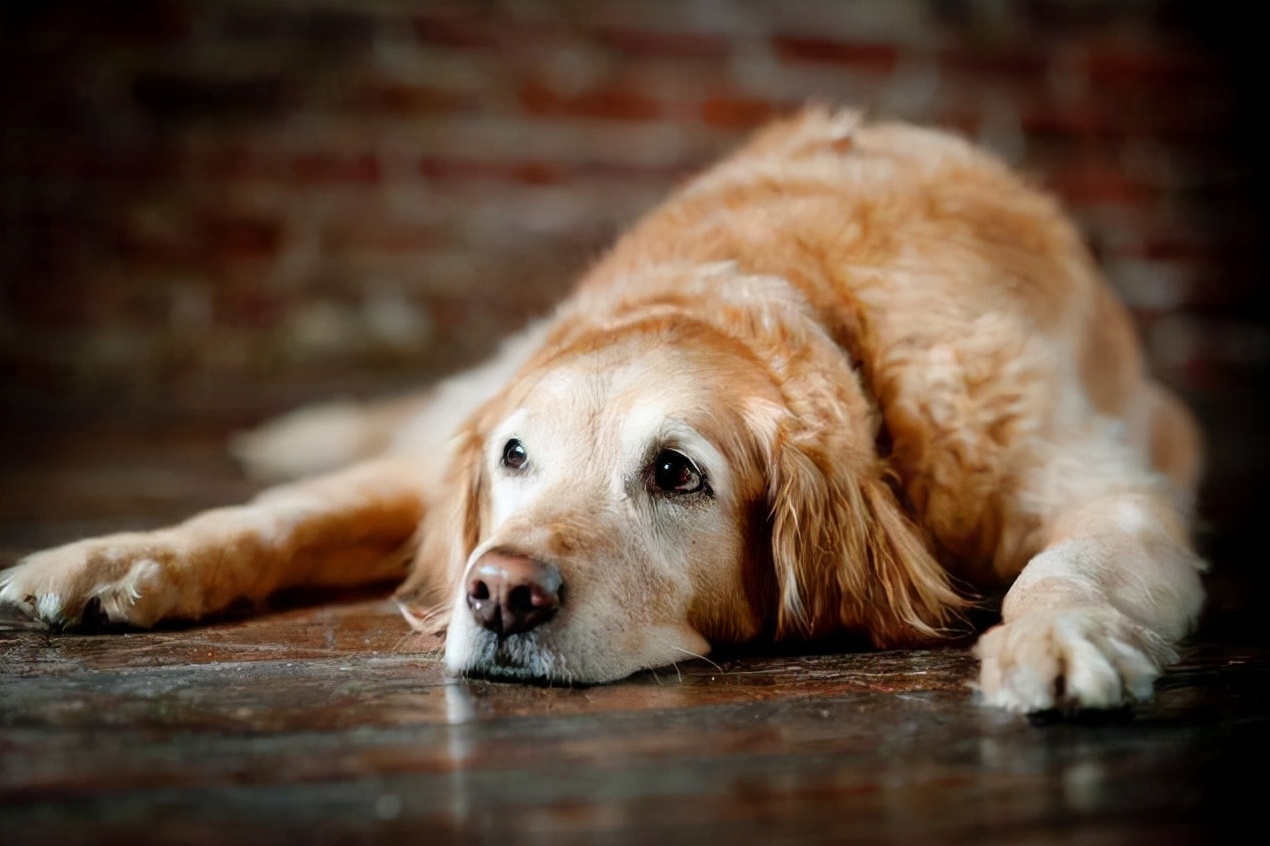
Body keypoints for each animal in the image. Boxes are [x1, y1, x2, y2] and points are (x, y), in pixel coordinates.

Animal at [2, 107, 1209, 711]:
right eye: (517, 457)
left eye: (676, 473)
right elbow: (276, 518)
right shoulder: (447, 464)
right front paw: (112, 559)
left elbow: (1069, 563)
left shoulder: (1110, 488)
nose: (498, 594)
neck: (798, 293)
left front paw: (1050, 639)